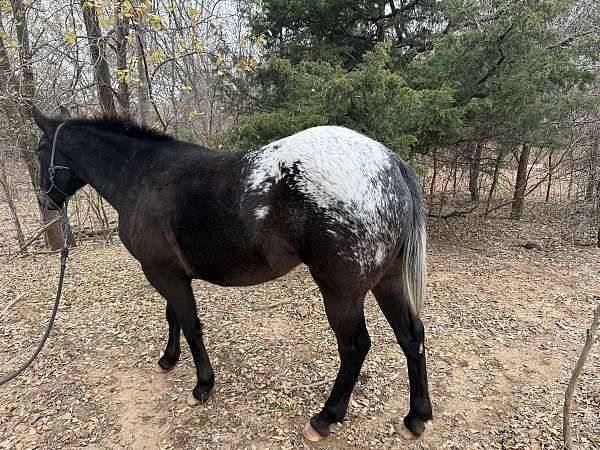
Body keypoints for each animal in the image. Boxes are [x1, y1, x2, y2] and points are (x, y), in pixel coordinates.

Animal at [31, 108, 432, 440]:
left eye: (39, 151)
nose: (45, 201)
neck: (142, 175)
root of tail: (389, 163)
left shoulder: (162, 272)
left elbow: (190, 324)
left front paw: (202, 386)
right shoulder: (171, 273)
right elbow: (173, 316)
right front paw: (169, 359)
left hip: (341, 292)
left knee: (355, 347)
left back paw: (325, 418)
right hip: (388, 281)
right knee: (411, 336)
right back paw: (416, 417)